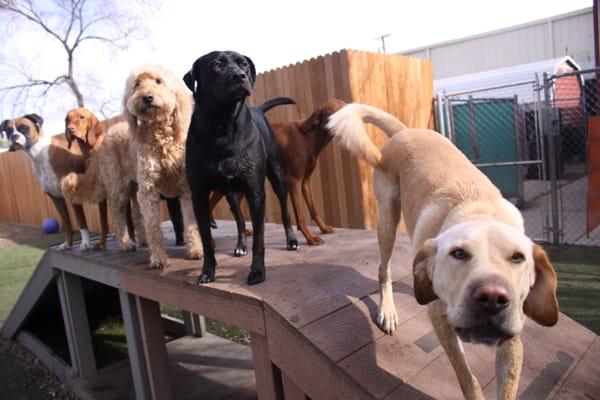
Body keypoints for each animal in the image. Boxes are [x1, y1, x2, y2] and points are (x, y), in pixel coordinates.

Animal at [1, 113, 93, 250]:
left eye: (23, 128)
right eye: (8, 130)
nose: (13, 136)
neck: (39, 154)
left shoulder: (71, 194)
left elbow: (81, 222)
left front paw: (85, 243)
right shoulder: (56, 198)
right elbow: (66, 223)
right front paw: (68, 243)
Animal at [182, 50, 296, 284]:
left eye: (243, 64)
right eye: (217, 64)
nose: (240, 76)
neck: (222, 126)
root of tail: (258, 110)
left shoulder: (255, 193)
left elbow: (259, 239)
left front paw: (257, 271)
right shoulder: (199, 196)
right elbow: (206, 241)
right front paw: (207, 271)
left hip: (277, 178)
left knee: (284, 210)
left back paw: (291, 240)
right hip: (231, 194)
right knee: (240, 220)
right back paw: (241, 245)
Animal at [326, 104, 560, 400]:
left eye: (518, 257)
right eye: (458, 253)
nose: (493, 298)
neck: (478, 210)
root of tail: (405, 131)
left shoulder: (512, 334)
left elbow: (507, 387)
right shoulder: (440, 318)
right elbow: (466, 376)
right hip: (388, 221)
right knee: (383, 271)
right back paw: (387, 310)